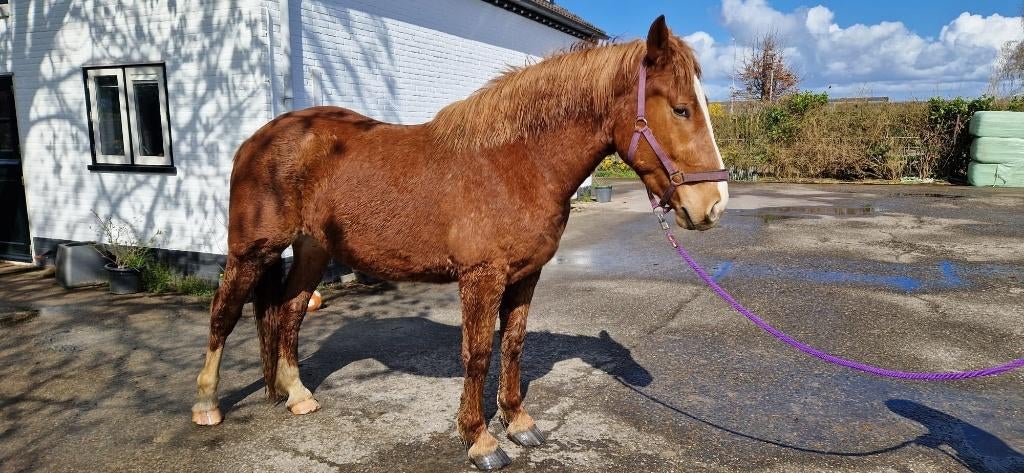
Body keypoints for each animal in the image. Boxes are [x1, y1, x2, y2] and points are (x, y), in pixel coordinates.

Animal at [191, 16, 729, 470]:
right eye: (680, 108)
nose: (713, 205)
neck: (515, 162)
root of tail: (258, 138)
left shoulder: (525, 275)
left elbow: (513, 345)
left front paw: (518, 421)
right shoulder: (481, 277)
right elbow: (478, 354)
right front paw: (480, 440)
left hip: (312, 249)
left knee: (289, 312)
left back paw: (298, 395)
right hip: (250, 250)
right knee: (223, 313)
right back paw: (206, 404)